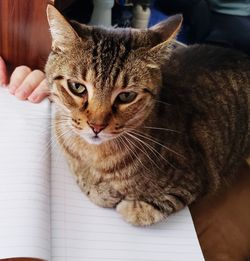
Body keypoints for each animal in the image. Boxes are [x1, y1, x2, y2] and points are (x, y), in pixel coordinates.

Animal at [45, 4, 250, 224]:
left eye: (126, 96)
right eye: (77, 87)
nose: (96, 126)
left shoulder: (195, 180)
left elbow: (145, 209)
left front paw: (124, 201)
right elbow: (78, 170)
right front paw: (96, 186)